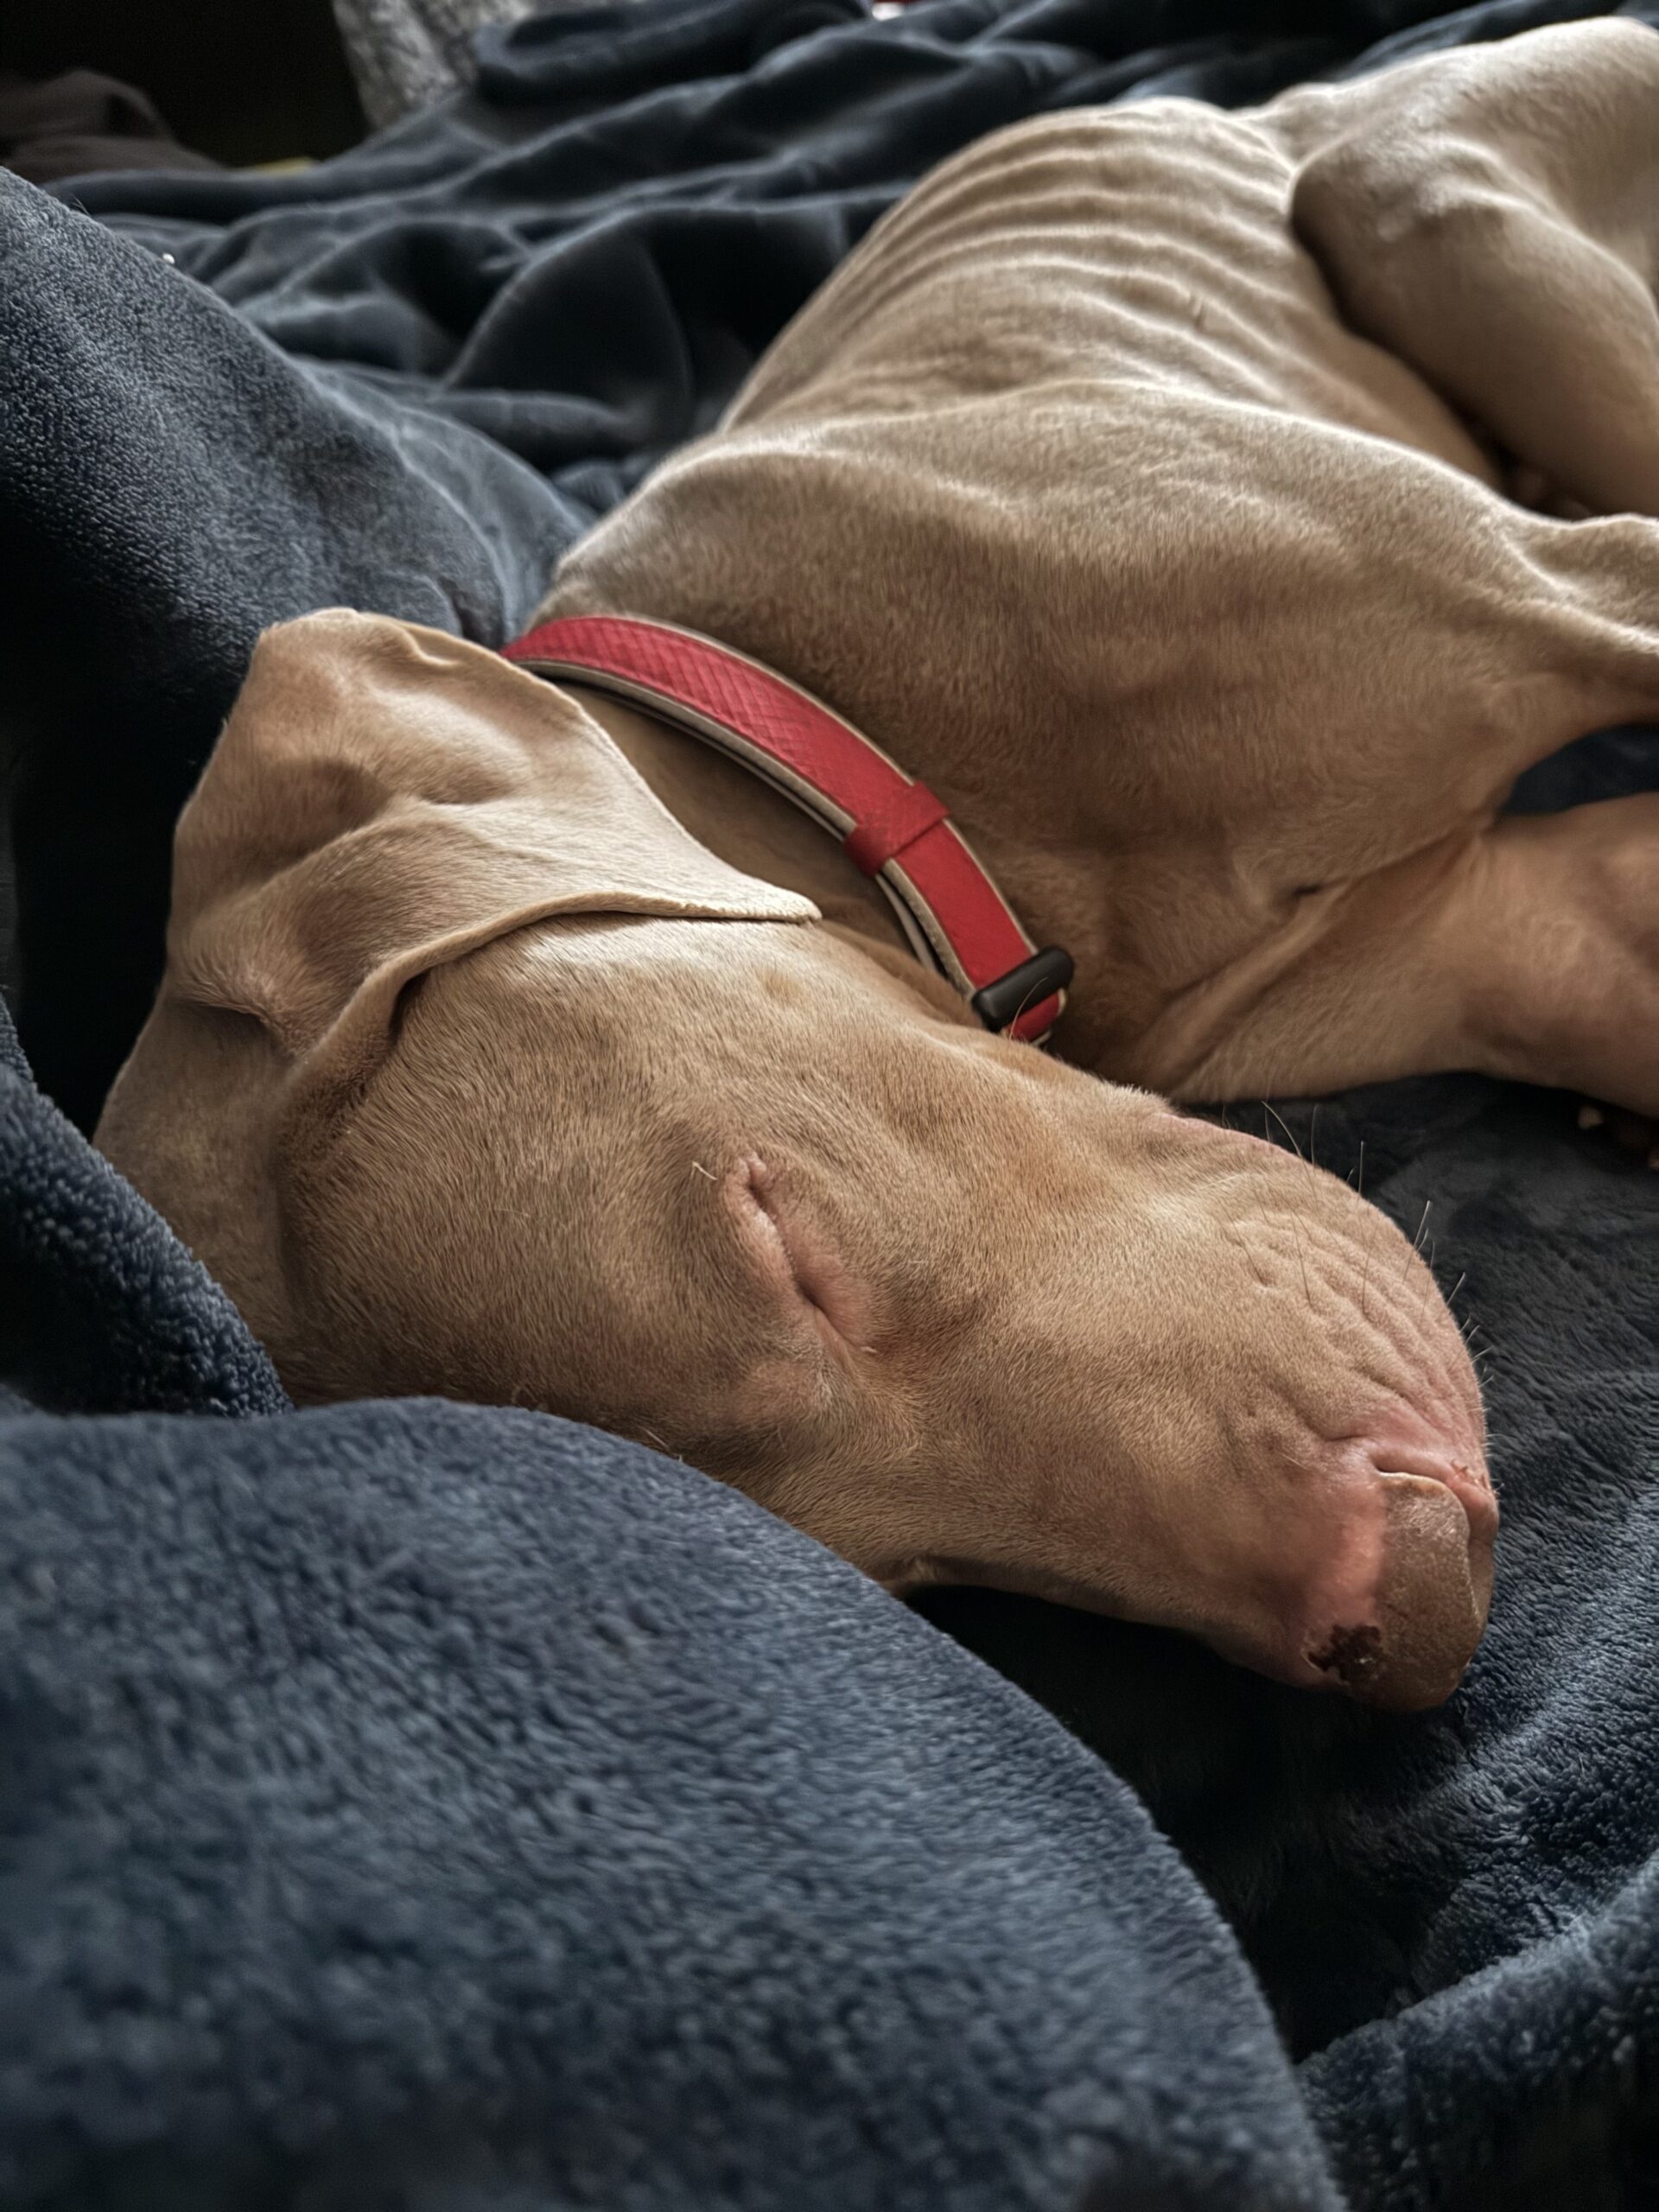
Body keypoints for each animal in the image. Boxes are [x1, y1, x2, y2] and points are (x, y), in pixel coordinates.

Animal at [97, 21, 1659, 1711]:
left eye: (783, 1246)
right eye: (916, 1581)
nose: (1423, 1608)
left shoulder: (1590, 588)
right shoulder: (1495, 937)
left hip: (1405, 193)